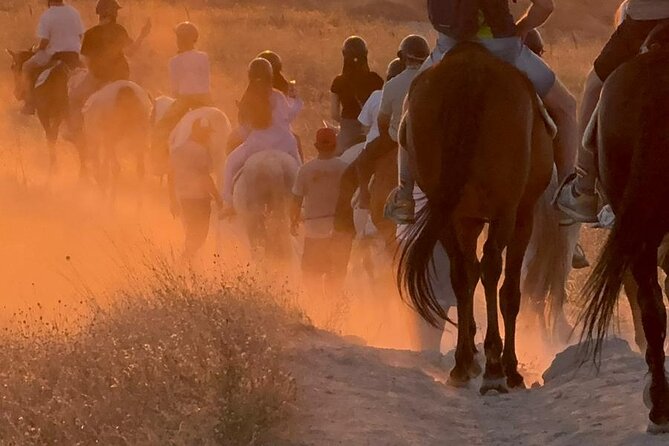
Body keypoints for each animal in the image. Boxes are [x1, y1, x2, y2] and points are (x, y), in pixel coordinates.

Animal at [398, 42, 554, 393]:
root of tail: (470, 74)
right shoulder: (521, 215)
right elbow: (507, 289)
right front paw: (507, 366)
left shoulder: (465, 218)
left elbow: (467, 274)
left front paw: (469, 355)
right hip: (505, 211)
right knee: (493, 269)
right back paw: (496, 369)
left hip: (443, 210)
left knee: (461, 271)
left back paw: (463, 364)